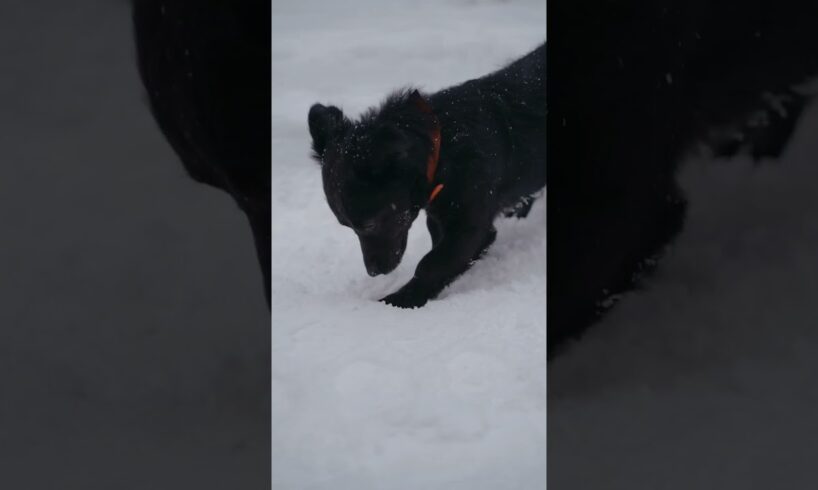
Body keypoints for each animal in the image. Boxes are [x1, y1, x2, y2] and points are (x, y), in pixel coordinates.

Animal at [310, 44, 544, 308]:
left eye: (369, 224)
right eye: (346, 226)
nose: (373, 272)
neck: (444, 151)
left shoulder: (470, 226)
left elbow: (432, 263)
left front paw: (399, 302)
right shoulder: (439, 217)